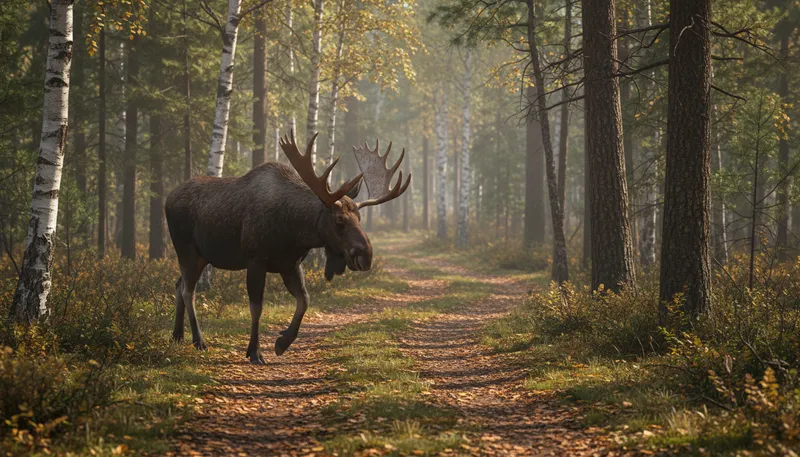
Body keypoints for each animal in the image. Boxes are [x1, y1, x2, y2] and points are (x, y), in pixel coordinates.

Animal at [165, 131, 410, 364]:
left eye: (359, 217)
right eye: (339, 220)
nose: (366, 255)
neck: (294, 230)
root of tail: (167, 199)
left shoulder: (290, 264)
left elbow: (304, 300)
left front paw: (282, 342)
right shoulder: (256, 259)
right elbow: (257, 307)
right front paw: (254, 352)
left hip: (202, 256)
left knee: (178, 284)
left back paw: (177, 335)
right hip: (186, 249)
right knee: (188, 290)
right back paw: (199, 341)